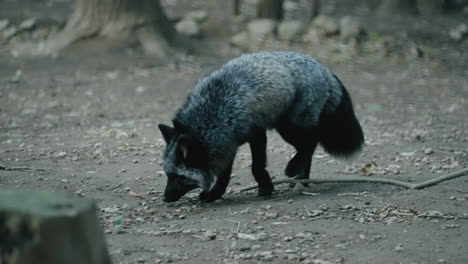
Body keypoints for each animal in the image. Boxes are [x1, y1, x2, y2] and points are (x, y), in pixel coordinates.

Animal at [159, 51, 364, 202]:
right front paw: (215, 194)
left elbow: (256, 166)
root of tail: (325, 70)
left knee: (311, 142)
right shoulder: (227, 144)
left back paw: (294, 170)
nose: (165, 198)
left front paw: (266, 188)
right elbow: (224, 175)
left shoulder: (255, 133)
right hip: (285, 128)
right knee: (307, 147)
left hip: (292, 125)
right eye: (168, 175)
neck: (217, 109)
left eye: (178, 176)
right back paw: (302, 180)